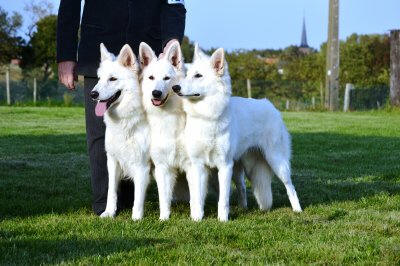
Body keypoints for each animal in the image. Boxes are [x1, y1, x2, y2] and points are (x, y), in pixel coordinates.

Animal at [90, 42, 151, 219]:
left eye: (112, 79)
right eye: (99, 79)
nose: (93, 94)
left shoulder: (142, 165)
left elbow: (138, 196)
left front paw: (136, 219)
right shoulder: (113, 161)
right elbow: (111, 190)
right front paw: (109, 212)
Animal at [177, 44, 302, 221]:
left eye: (198, 75)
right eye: (186, 74)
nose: (175, 87)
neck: (207, 117)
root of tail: (270, 106)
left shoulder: (224, 166)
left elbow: (223, 199)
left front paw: (223, 220)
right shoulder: (198, 166)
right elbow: (198, 197)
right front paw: (197, 219)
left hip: (276, 161)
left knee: (290, 186)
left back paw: (297, 210)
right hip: (241, 169)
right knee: (242, 188)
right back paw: (243, 208)